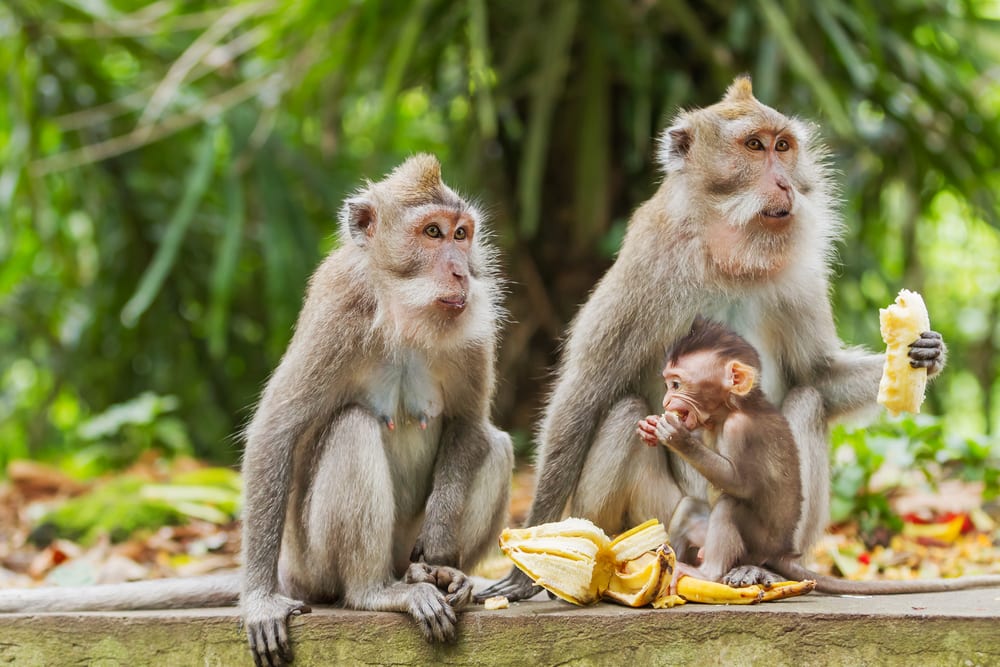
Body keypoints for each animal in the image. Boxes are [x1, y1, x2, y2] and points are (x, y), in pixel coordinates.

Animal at [0, 155, 514, 667]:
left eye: (461, 234)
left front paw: (442, 549)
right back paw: (373, 592)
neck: (403, 314)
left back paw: (442, 575)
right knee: (351, 427)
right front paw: (261, 601)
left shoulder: (475, 328)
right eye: (432, 232)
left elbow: (468, 423)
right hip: (313, 563)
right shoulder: (337, 313)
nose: (461, 273)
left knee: (496, 444)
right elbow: (275, 432)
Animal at [478, 76, 947, 603]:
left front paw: (924, 353)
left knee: (807, 400)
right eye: (754, 146)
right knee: (620, 415)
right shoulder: (648, 263)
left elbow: (817, 374)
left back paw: (766, 564)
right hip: (655, 515)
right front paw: (525, 566)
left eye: (784, 147)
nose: (784, 182)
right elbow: (585, 391)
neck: (731, 255)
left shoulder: (801, 275)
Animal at [637, 317, 1000, 594]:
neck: (731, 409)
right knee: (691, 507)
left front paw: (677, 436)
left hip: (758, 545)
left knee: (729, 504)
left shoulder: (742, 430)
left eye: (676, 384)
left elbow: (740, 483)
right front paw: (656, 428)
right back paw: (668, 560)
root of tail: (783, 554)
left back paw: (708, 573)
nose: (667, 402)